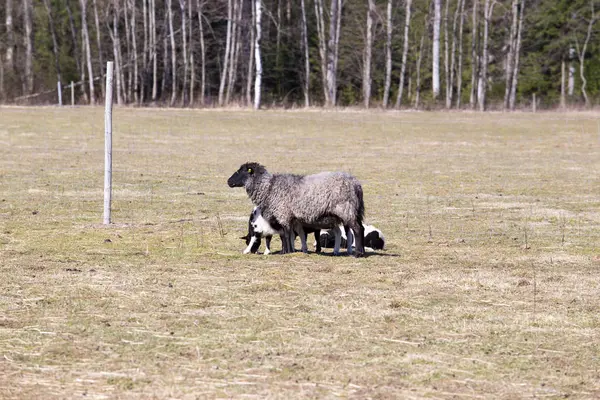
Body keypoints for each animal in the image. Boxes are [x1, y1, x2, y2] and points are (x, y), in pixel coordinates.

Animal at [226, 162, 364, 256]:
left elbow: (286, 234)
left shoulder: (284, 214)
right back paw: (357, 251)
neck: (269, 187)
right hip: (351, 212)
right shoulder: (291, 218)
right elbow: (290, 235)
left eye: (241, 171)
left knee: (357, 229)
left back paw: (358, 253)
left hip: (346, 210)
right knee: (356, 229)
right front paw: (290, 249)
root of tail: (356, 184)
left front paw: (286, 251)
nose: (228, 181)